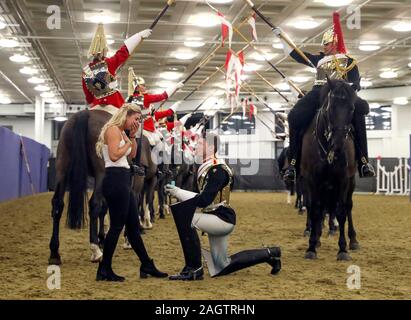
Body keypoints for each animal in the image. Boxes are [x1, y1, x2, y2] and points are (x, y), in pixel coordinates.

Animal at [300, 79, 360, 262]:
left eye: (352, 109)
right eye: (331, 107)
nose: (338, 145)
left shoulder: (343, 180)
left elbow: (341, 211)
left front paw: (343, 249)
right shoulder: (311, 180)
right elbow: (315, 209)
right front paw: (312, 246)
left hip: (350, 183)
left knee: (348, 206)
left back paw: (353, 240)